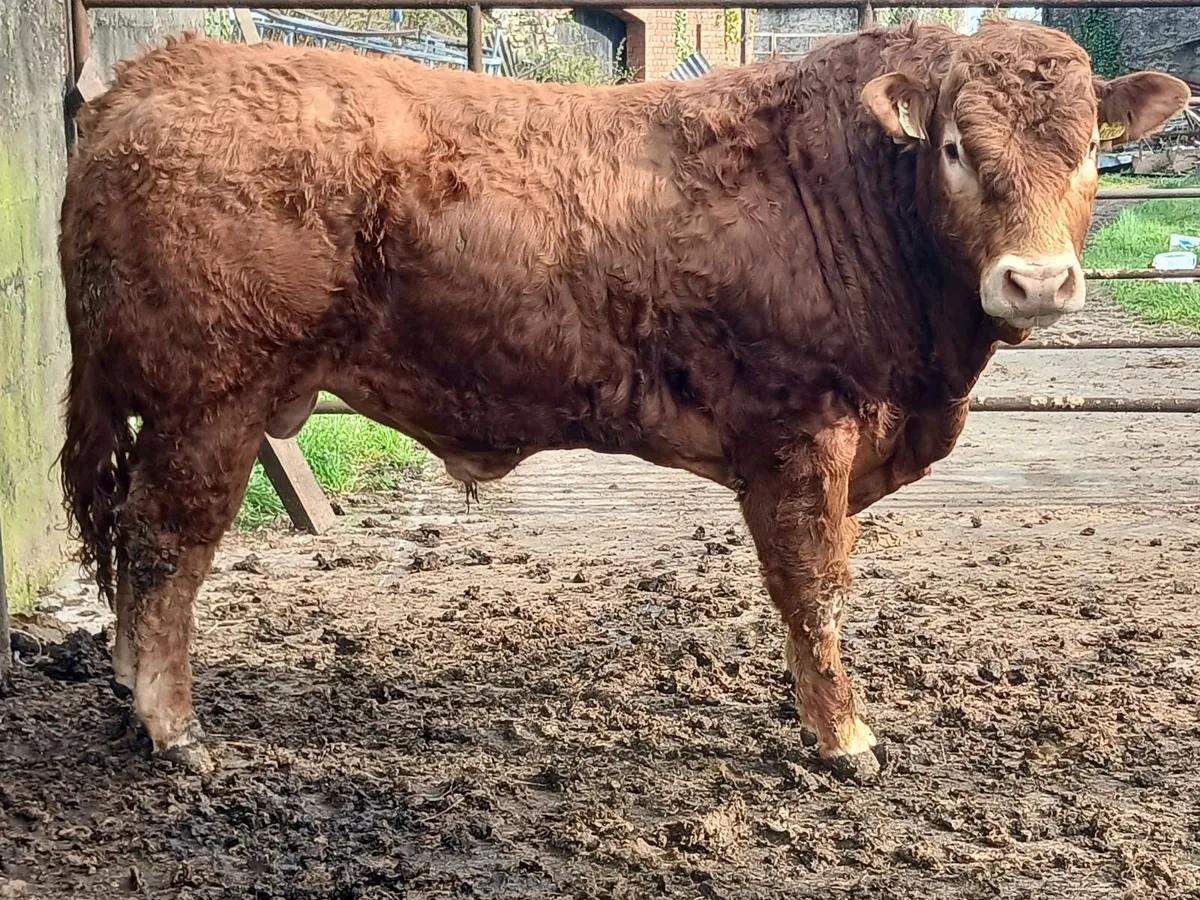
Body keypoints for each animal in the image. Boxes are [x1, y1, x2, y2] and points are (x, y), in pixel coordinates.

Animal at [58, 19, 1188, 779]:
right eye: (956, 146)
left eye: (1090, 148)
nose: (1036, 282)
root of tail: (154, 75)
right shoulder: (799, 432)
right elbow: (813, 590)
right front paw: (844, 740)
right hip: (213, 397)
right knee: (163, 544)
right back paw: (172, 729)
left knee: (133, 538)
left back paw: (125, 687)